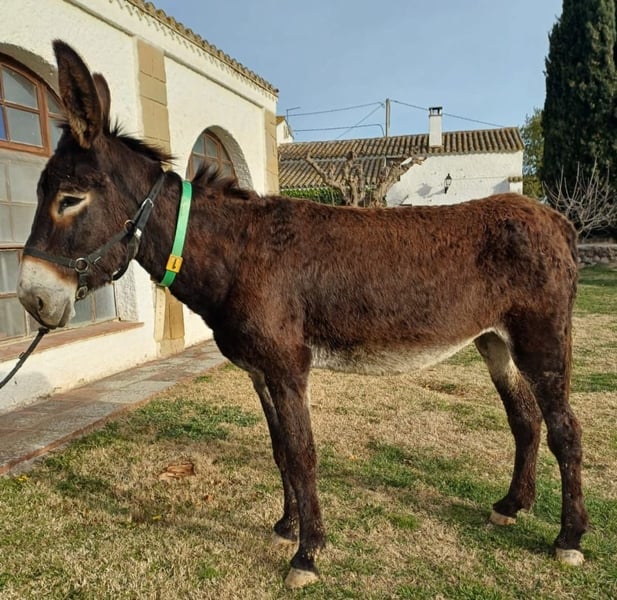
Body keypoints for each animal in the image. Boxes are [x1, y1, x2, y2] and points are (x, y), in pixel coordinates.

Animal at [17, 41, 588, 588]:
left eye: (69, 198)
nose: (31, 298)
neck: (237, 253)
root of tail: (556, 219)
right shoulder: (259, 372)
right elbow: (279, 451)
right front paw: (287, 527)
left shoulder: (289, 366)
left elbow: (302, 452)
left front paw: (308, 555)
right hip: (494, 340)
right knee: (526, 419)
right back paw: (512, 506)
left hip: (541, 340)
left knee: (565, 428)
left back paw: (569, 538)